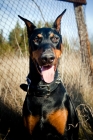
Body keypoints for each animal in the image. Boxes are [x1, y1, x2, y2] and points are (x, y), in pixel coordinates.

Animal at [18, 9, 79, 139]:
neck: (44, 90)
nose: (47, 58)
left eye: (55, 38)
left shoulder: (64, 133)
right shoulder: (30, 132)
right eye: (36, 39)